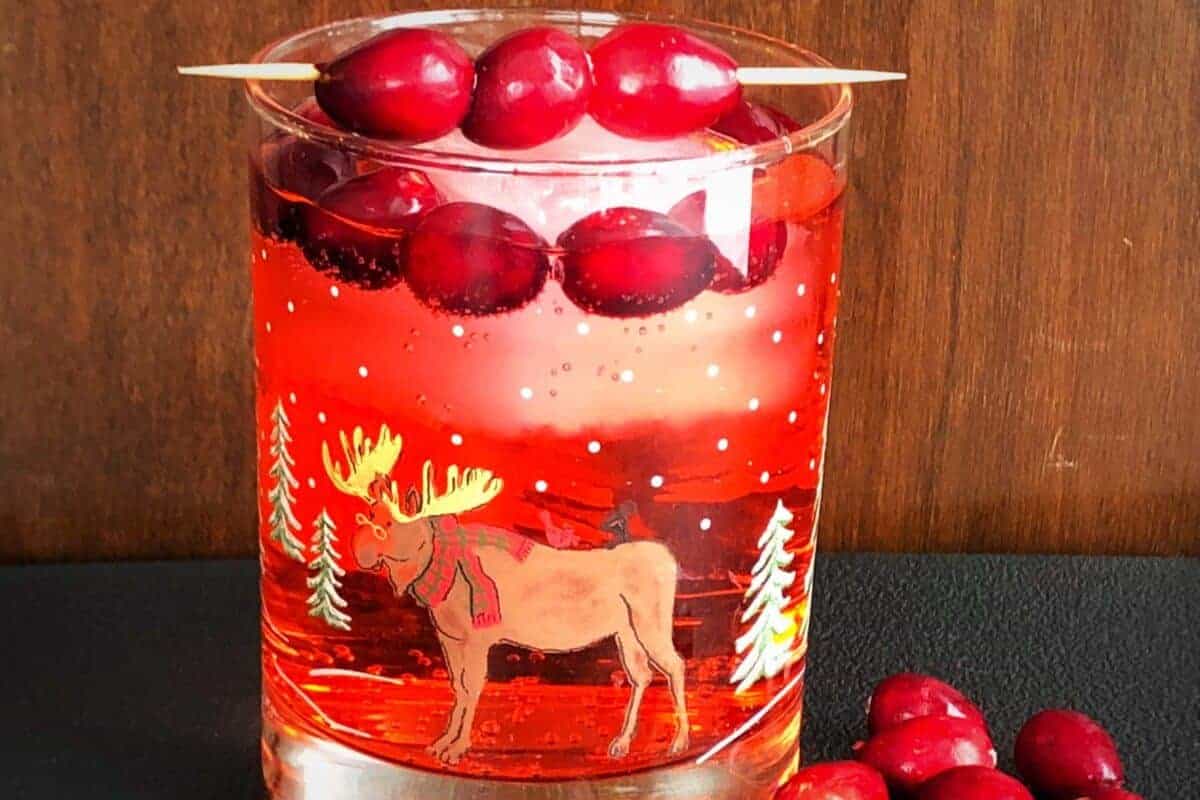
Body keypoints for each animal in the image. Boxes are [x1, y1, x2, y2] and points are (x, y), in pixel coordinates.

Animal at [324, 429, 691, 767]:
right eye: (369, 515)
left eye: (390, 523)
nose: (359, 547)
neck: (438, 577)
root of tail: (670, 559)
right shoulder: (449, 638)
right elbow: (457, 686)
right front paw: (441, 742)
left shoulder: (478, 637)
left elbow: (472, 686)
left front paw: (457, 748)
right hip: (625, 633)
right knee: (642, 675)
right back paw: (622, 743)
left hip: (650, 623)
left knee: (675, 665)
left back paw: (679, 741)